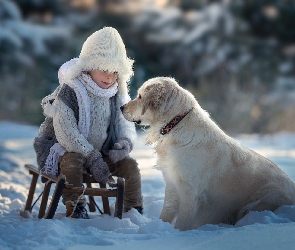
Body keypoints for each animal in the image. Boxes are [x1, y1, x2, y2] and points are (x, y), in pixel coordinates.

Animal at [121, 76, 295, 230]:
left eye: (140, 96)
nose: (121, 107)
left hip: (260, 200)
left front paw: (177, 233)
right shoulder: (172, 183)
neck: (175, 124)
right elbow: (167, 212)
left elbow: (183, 220)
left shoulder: (190, 190)